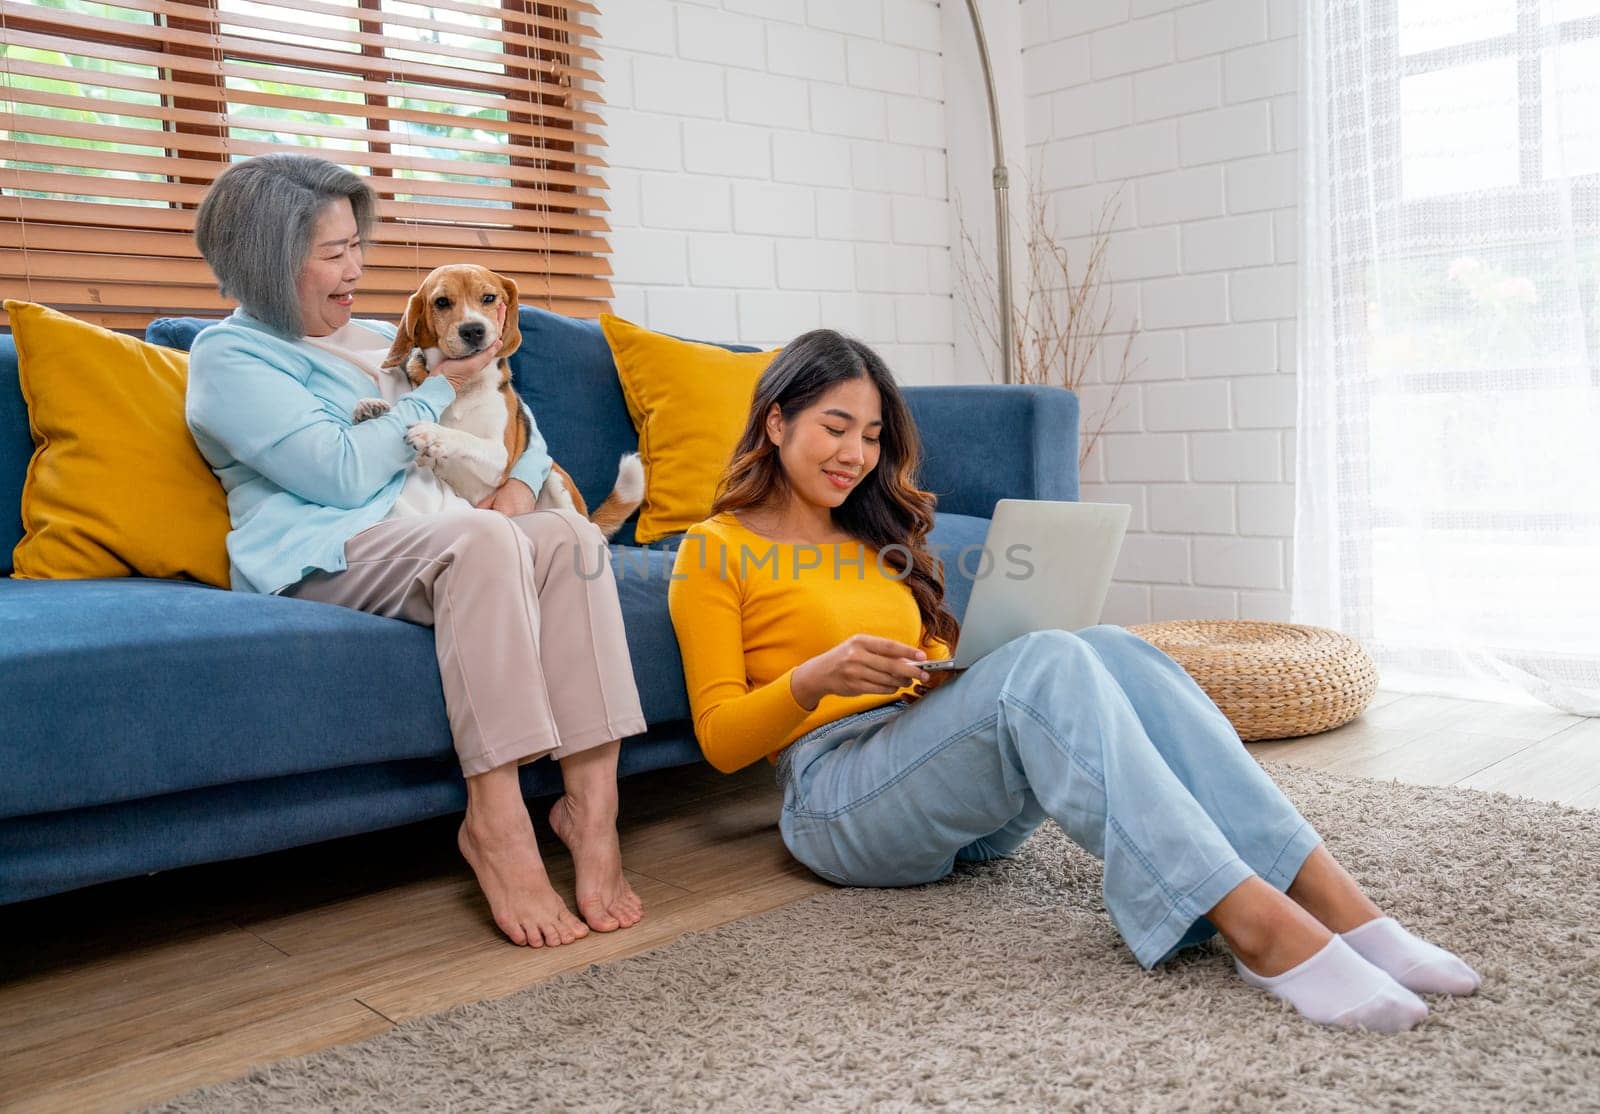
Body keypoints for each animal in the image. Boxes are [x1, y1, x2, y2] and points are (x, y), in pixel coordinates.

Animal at [356, 262, 643, 537]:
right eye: (442, 302)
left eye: (489, 298)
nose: (473, 330)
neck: (463, 387)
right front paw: (371, 408)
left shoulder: (499, 458)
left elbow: (466, 438)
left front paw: (435, 433)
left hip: (555, 477)